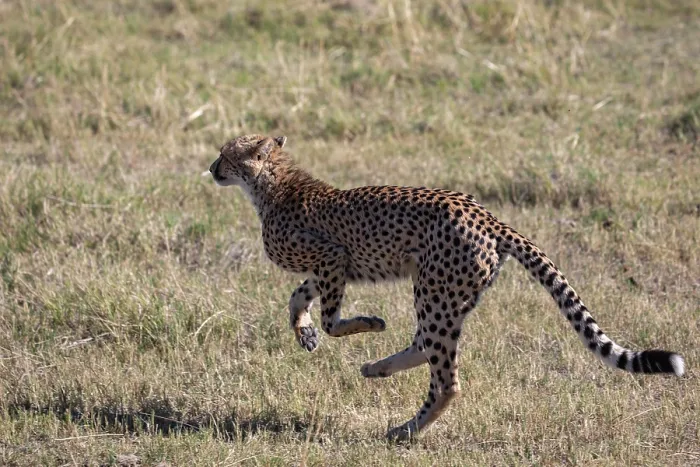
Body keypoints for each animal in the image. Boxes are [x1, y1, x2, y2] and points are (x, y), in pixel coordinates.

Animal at [208, 133, 685, 441]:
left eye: (225, 154)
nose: (211, 168)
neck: (272, 184)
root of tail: (489, 217)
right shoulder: (328, 266)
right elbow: (297, 299)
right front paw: (305, 333)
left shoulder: (333, 257)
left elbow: (331, 318)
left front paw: (364, 323)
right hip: (449, 295)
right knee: (427, 347)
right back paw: (379, 371)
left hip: (433, 291)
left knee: (446, 379)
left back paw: (404, 429)